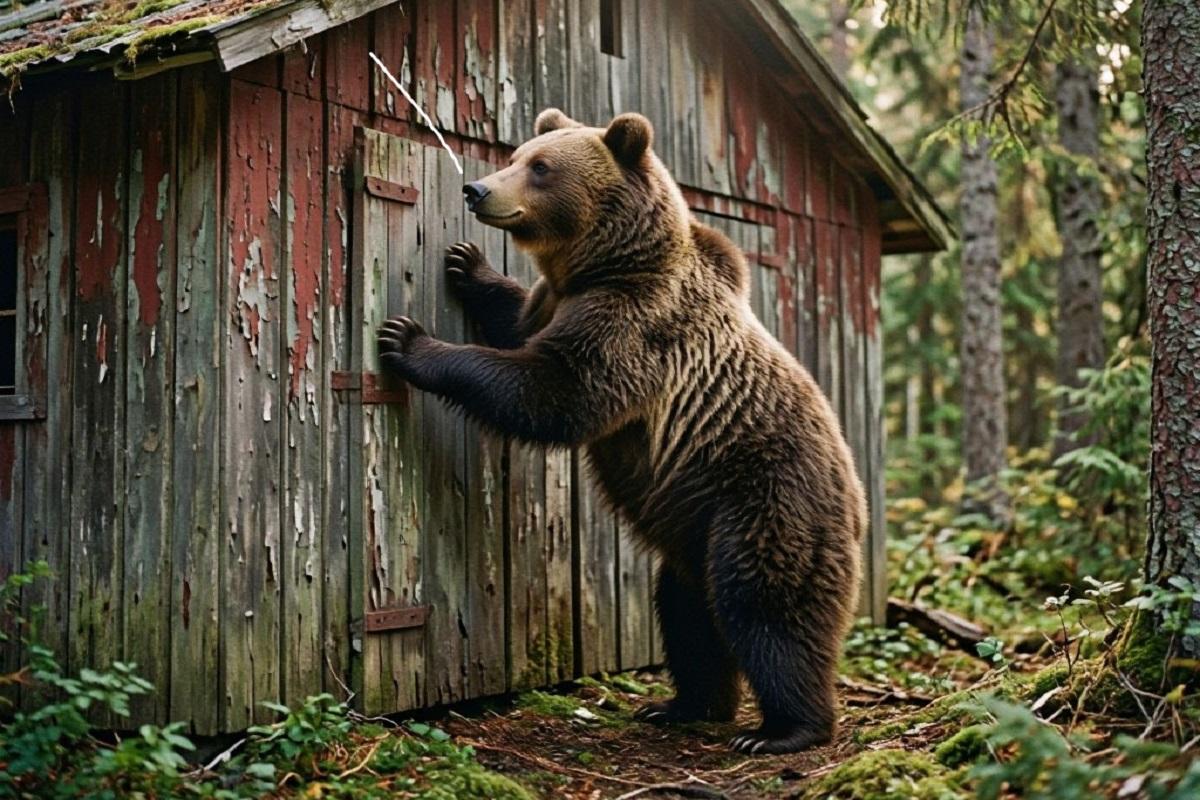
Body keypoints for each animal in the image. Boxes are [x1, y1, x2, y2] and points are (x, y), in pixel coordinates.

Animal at [377, 108, 865, 754]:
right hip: (695, 530)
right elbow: (519, 325)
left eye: (541, 167)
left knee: (766, 607)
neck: (605, 263)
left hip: (767, 503)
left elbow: (551, 391)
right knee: (687, 614)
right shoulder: (559, 300)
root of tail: (858, 502)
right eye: (517, 155)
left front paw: (409, 340)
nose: (477, 189)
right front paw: (469, 265)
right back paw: (682, 705)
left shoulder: (635, 325)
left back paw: (785, 730)